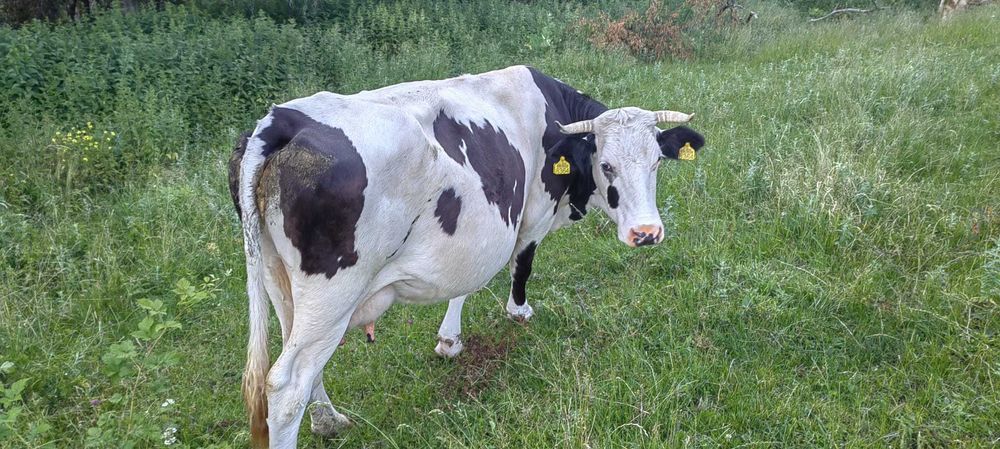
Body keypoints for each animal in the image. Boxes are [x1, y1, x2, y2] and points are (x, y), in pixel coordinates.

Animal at [229, 65, 705, 448]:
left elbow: (465, 280)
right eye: (606, 165)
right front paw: (519, 312)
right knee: (287, 385)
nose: (647, 233)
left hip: (281, 281)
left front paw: (449, 339)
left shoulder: (477, 231)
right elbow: (522, 265)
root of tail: (282, 120)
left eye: (656, 162)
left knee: (302, 365)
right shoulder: (533, 213)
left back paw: (328, 419)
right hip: (333, 292)